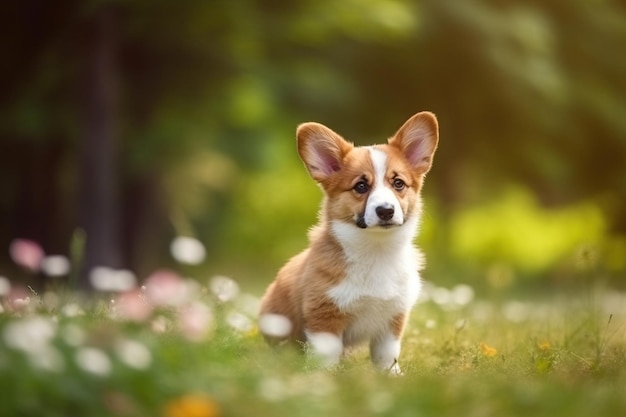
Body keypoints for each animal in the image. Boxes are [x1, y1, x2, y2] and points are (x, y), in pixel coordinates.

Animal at [256, 109, 436, 370]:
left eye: (398, 183)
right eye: (360, 186)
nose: (386, 211)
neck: (376, 249)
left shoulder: (392, 317)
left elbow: (387, 356)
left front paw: (392, 375)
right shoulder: (324, 316)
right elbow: (327, 356)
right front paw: (327, 376)